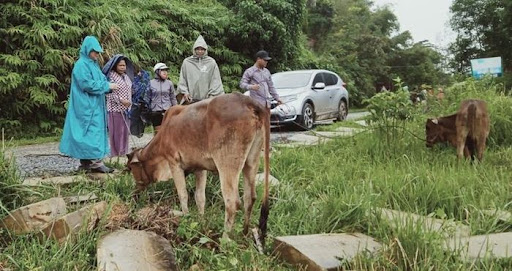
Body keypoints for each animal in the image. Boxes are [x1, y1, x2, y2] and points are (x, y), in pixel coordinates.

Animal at [125, 93, 272, 242]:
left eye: (130, 168)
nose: (134, 193)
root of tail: (248, 101)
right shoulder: (200, 168)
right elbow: (200, 197)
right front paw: (201, 222)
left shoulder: (174, 163)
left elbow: (183, 194)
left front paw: (185, 218)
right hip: (251, 161)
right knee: (250, 197)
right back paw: (244, 234)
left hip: (227, 164)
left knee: (232, 202)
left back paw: (224, 240)